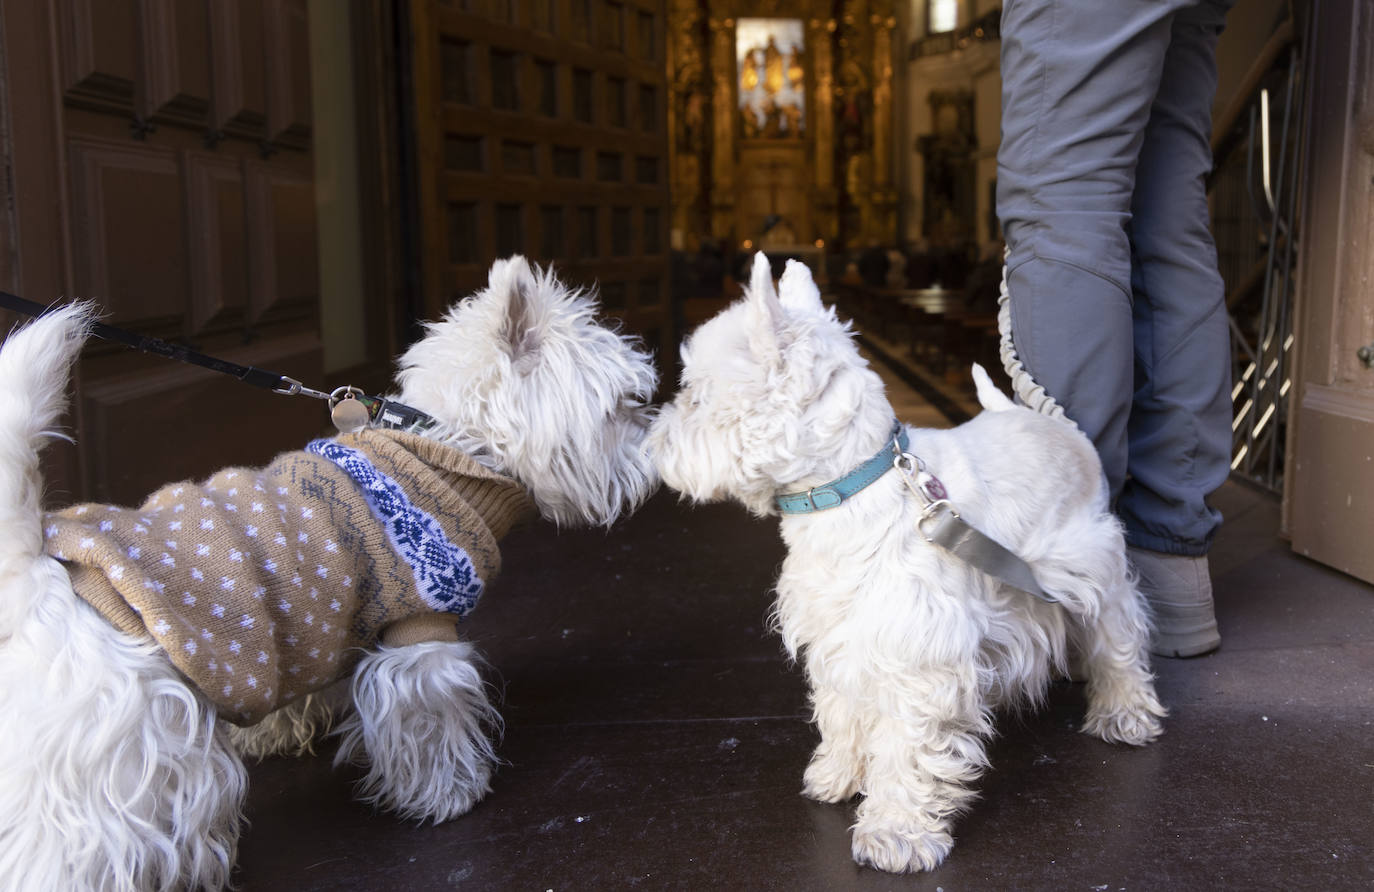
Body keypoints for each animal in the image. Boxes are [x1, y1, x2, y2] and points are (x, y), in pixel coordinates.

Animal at [0, 254, 659, 885]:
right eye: (622, 406)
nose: (656, 452)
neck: (447, 449)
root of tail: (38, 564)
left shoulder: (314, 633)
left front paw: (276, 735)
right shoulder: (418, 635)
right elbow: (429, 719)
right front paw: (447, 795)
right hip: (131, 751)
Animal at [648, 254, 1165, 874]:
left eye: (694, 395)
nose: (650, 443)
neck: (849, 486)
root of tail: (1059, 427)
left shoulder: (917, 655)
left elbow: (905, 749)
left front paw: (895, 833)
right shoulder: (840, 636)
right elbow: (841, 710)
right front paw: (839, 774)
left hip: (1094, 566)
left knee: (1121, 636)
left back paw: (1124, 713)